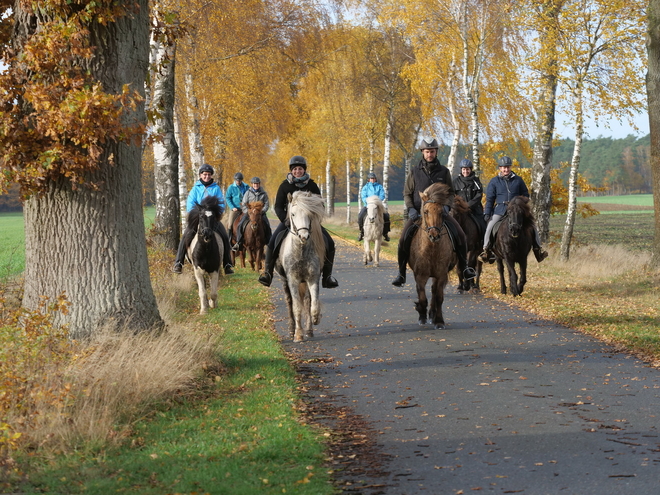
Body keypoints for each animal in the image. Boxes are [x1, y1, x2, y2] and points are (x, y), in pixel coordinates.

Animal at [274, 192, 324, 342]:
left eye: (310, 214)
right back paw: (291, 330)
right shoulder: (293, 280)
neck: (300, 250)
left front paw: (315, 319)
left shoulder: (312, 278)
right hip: (284, 280)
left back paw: (309, 330)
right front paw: (298, 335)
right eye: (293, 214)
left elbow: (313, 304)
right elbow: (296, 307)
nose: (303, 236)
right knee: (289, 301)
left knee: (307, 301)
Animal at [410, 182, 456, 330]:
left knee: (435, 292)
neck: (432, 249)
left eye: (442, 212)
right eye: (425, 212)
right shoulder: (420, 276)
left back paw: (433, 315)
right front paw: (422, 316)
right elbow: (422, 298)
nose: (434, 235)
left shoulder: (441, 274)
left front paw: (439, 321)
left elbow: (439, 298)